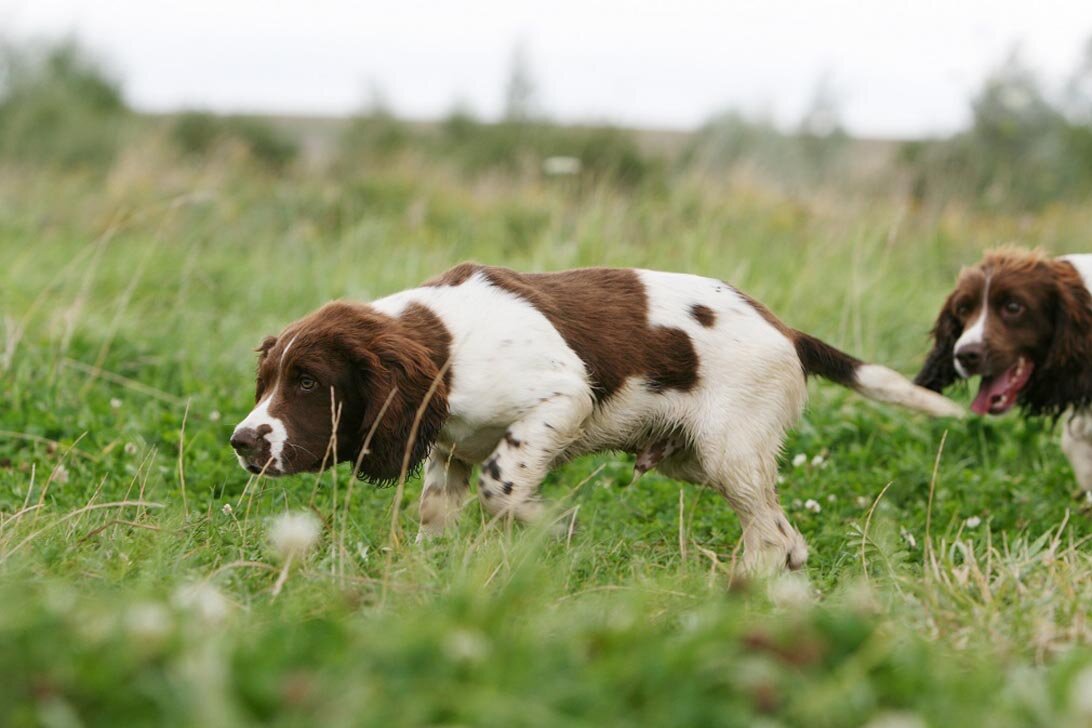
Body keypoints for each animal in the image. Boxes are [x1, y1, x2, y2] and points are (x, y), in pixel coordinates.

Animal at [232, 263, 965, 576]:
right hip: (696, 459)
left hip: (729, 452)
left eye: (308, 382)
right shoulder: (448, 451)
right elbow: (438, 514)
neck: (447, 342)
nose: (242, 442)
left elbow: (504, 485)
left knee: (771, 532)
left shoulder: (564, 396)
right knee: (788, 535)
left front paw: (553, 527)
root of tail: (786, 331)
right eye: (266, 381)